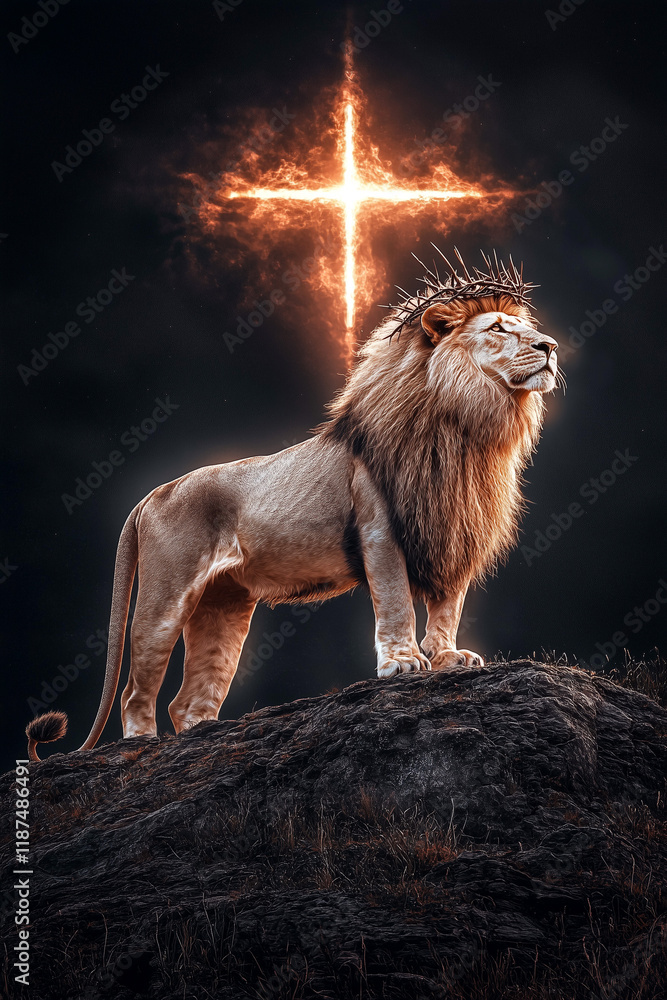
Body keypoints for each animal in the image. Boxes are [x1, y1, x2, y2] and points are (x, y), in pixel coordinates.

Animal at [26, 249, 560, 761]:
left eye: (524, 328)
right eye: (497, 329)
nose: (551, 347)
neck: (468, 425)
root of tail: (154, 493)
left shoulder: (455, 533)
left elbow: (448, 608)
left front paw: (450, 659)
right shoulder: (380, 531)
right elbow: (396, 604)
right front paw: (403, 662)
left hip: (224, 606)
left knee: (188, 699)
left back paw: (204, 737)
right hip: (164, 598)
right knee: (135, 692)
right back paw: (141, 746)